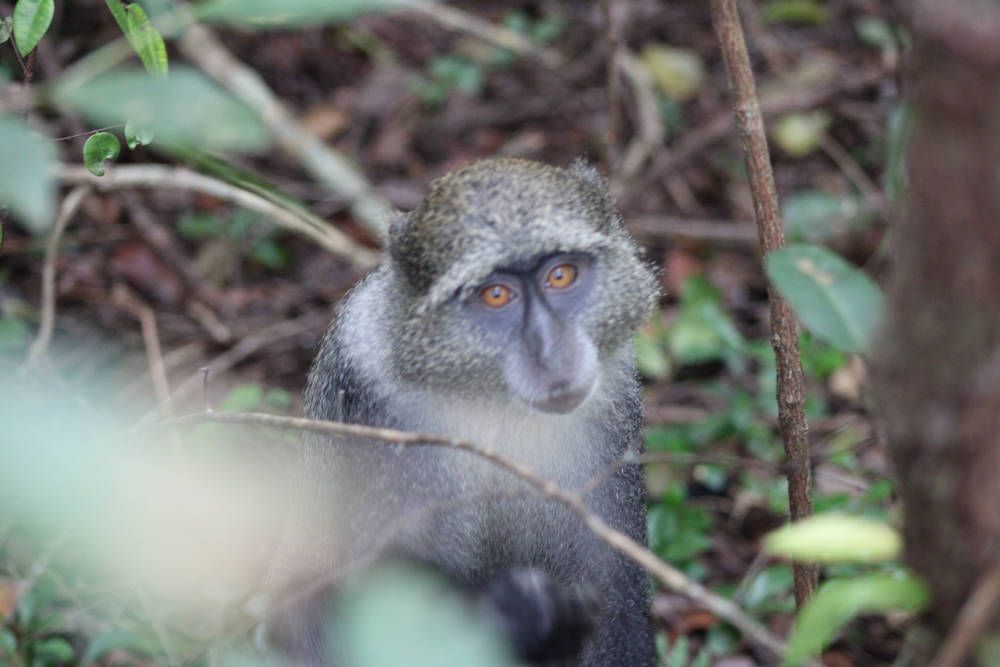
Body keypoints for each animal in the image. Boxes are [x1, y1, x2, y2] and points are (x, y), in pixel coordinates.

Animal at [267, 158, 659, 666]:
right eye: (496, 295)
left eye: (561, 276)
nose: (551, 353)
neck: (491, 396)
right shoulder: (368, 391)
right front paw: (518, 612)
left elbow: (618, 608)